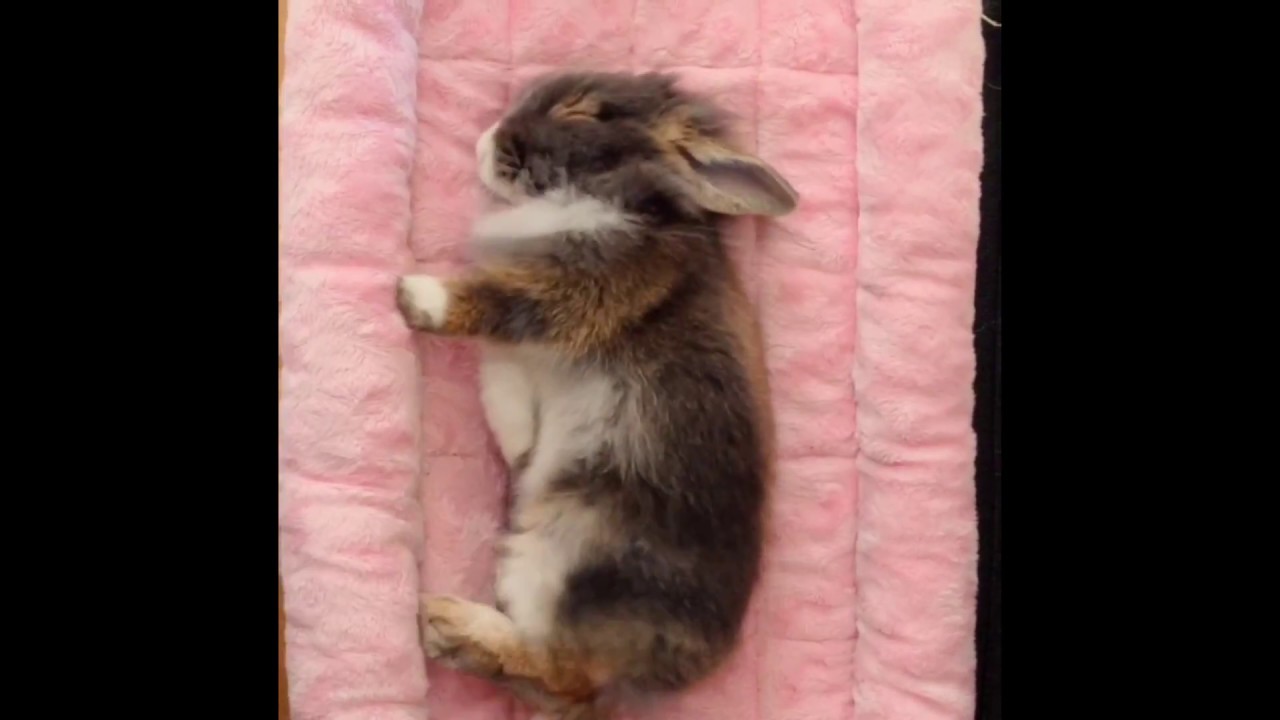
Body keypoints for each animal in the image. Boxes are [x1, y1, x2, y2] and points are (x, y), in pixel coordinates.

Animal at [396, 71, 798, 720]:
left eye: (580, 113)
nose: (488, 138)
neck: (627, 199)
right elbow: (503, 362)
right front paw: (518, 443)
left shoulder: (578, 291)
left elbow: (494, 307)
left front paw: (416, 295)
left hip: (565, 552)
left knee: (561, 673)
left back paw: (445, 622)